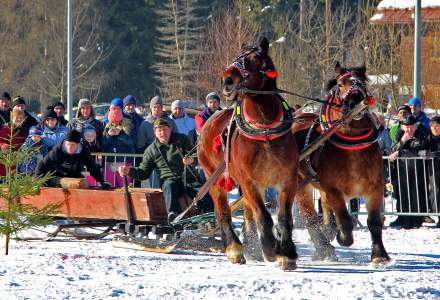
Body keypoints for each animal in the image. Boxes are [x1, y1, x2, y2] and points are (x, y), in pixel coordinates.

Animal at [199, 37, 300, 270]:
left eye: (255, 59)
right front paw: (271, 249)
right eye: (237, 56)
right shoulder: (249, 181)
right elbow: (264, 216)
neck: (264, 132)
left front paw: (286, 253)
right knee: (223, 212)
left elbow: (284, 218)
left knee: (246, 212)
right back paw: (234, 249)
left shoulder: (287, 180)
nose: (227, 80)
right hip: (214, 179)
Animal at [294, 61, 390, 264]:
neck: (352, 146)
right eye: (340, 84)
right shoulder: (333, 190)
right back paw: (324, 247)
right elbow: (345, 221)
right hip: (300, 186)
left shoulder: (375, 188)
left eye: (362, 82)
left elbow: (374, 222)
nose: (355, 99)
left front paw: (380, 255)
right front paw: (341, 236)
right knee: (310, 217)